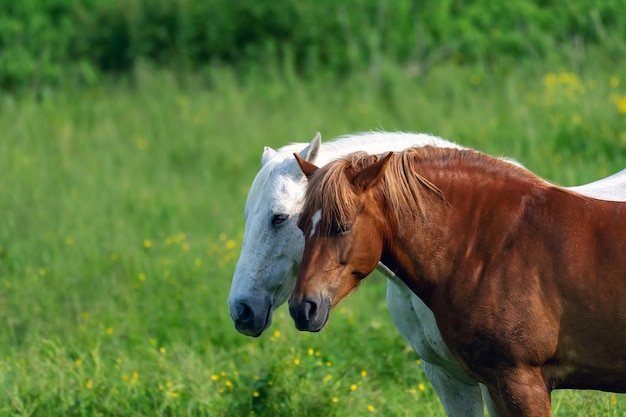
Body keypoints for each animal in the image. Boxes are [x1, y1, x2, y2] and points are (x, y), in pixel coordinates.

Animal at [228, 132, 624, 416]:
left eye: (280, 218)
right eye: (300, 224)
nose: (241, 309)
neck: (491, 243)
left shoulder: (518, 382)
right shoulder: (456, 378)